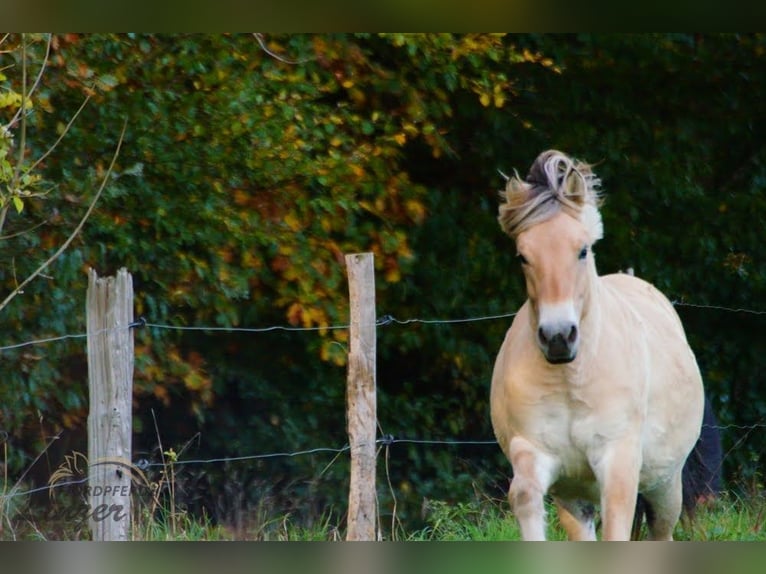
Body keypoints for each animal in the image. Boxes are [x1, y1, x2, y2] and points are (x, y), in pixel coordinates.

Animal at [490, 150, 705, 541]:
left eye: (582, 250)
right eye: (523, 256)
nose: (558, 337)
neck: (569, 380)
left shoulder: (618, 465)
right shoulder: (533, 453)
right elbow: (525, 496)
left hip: (665, 487)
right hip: (575, 500)